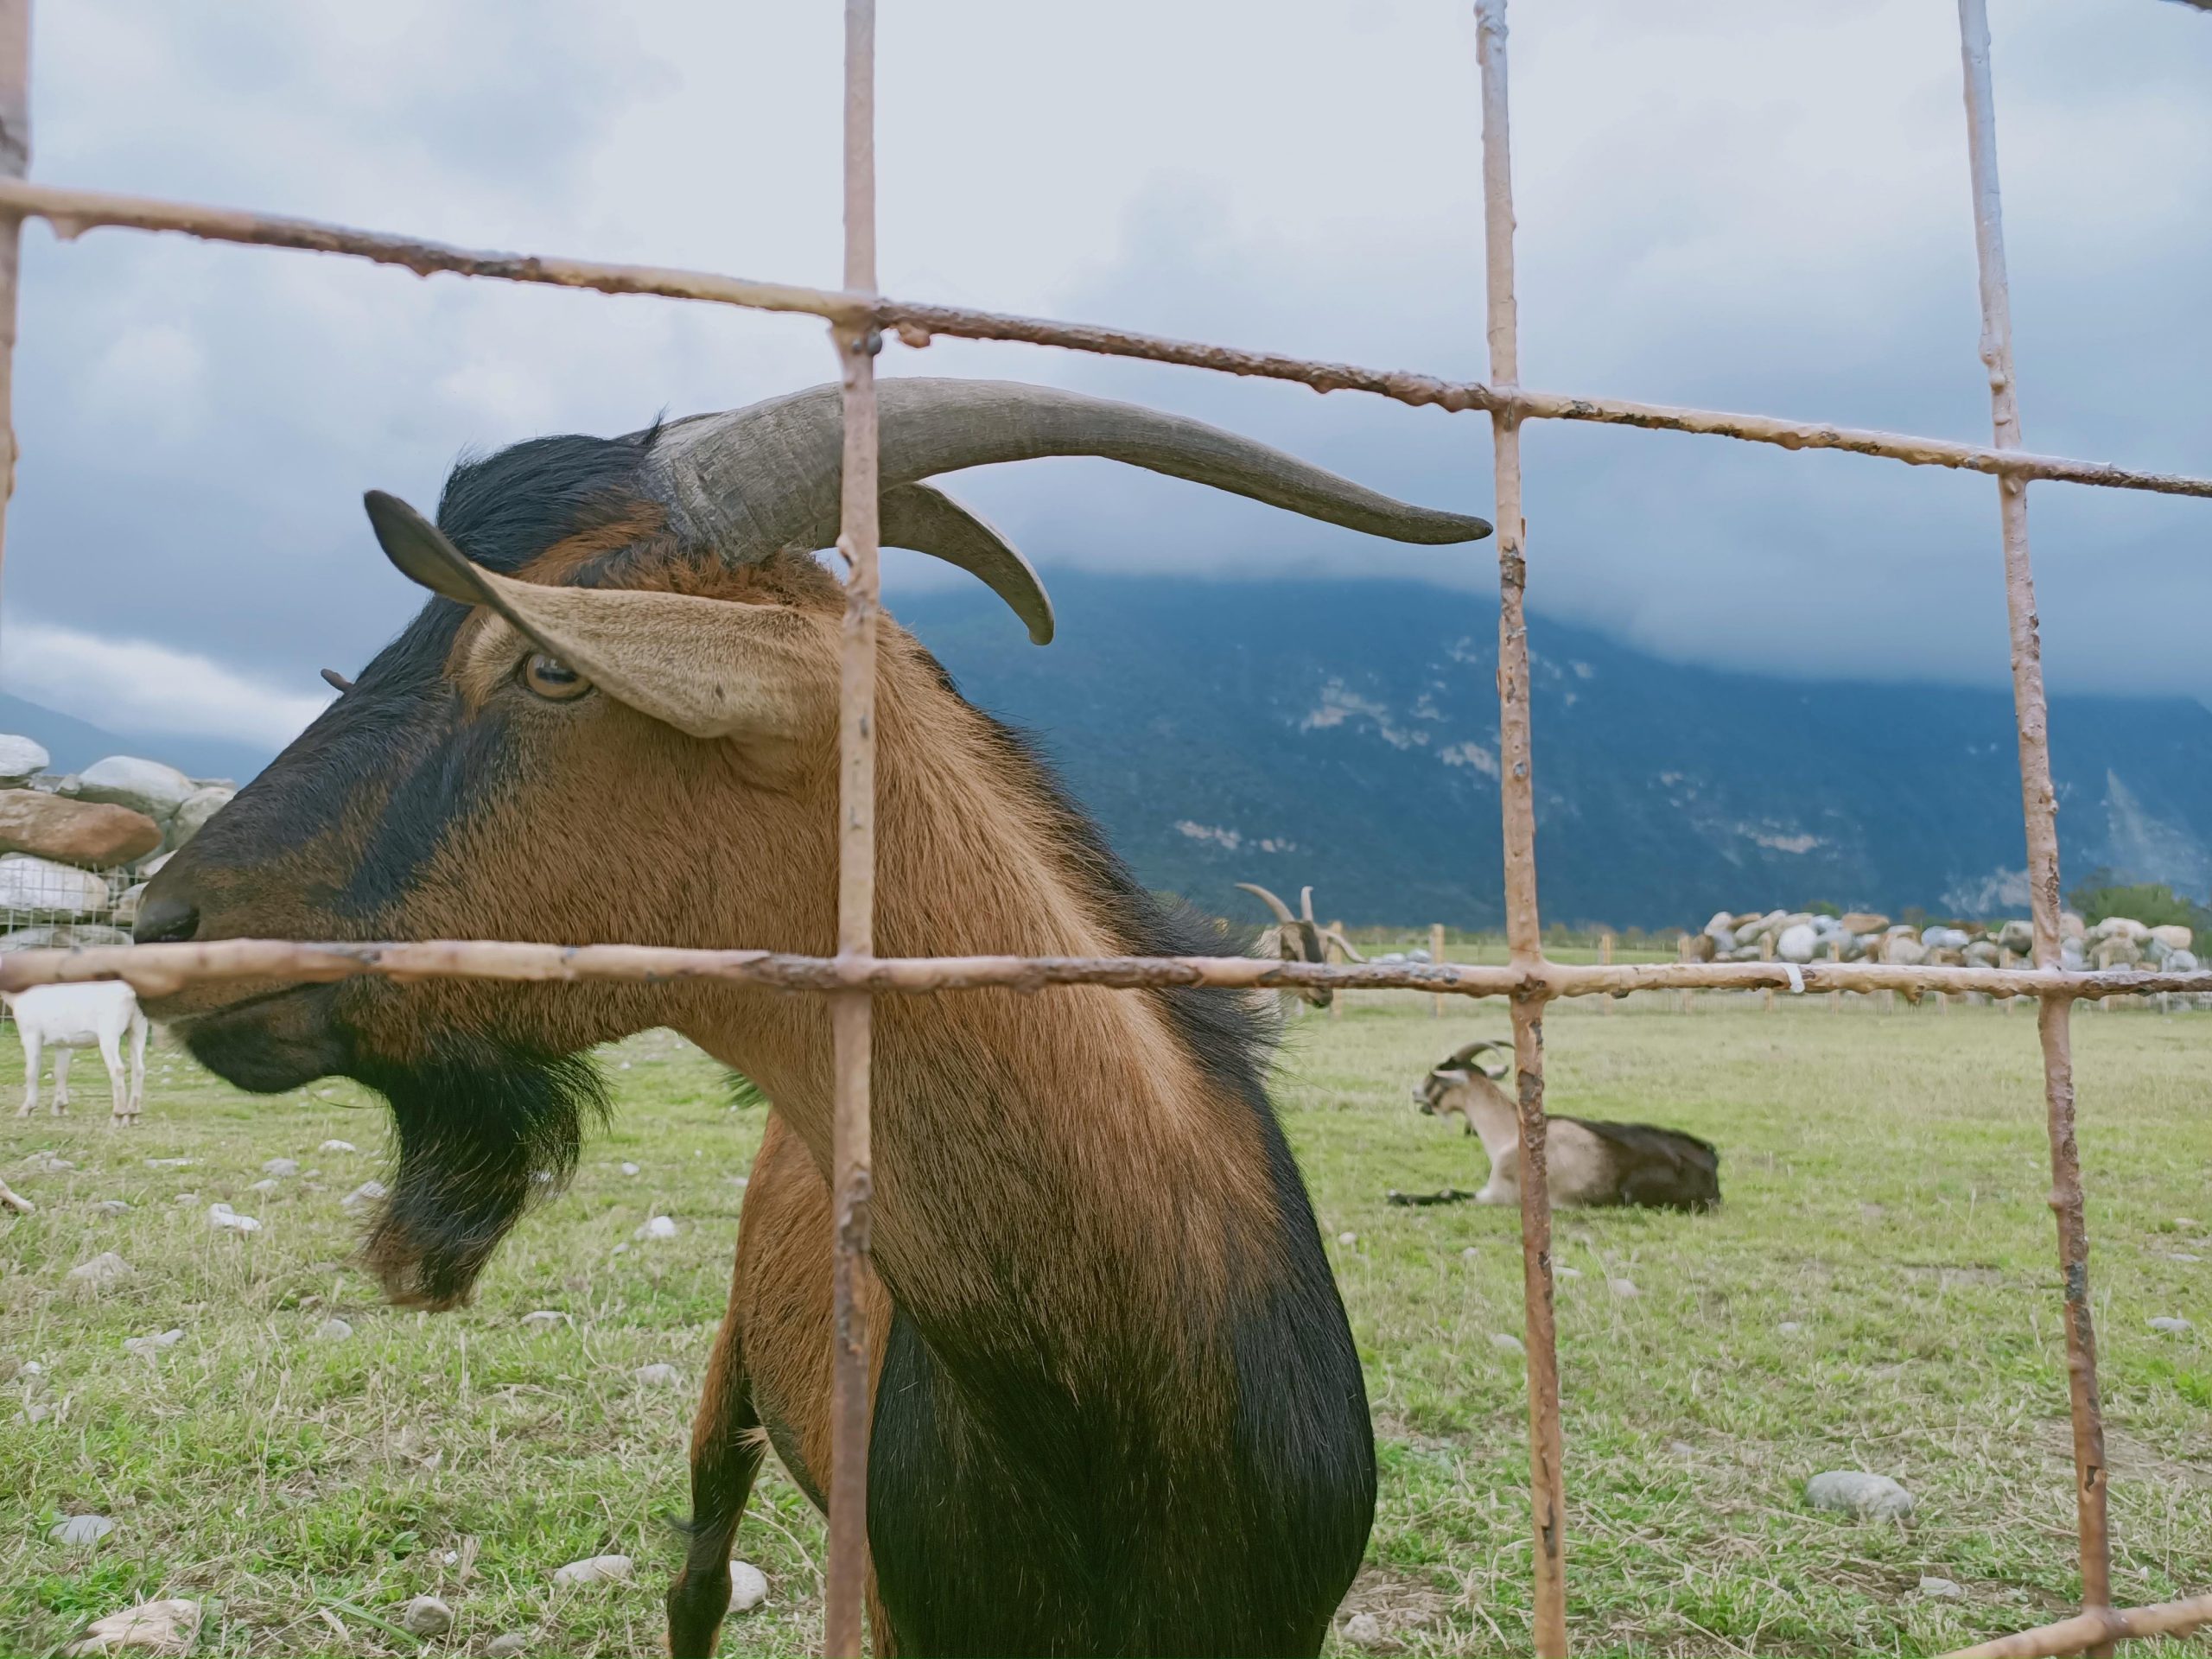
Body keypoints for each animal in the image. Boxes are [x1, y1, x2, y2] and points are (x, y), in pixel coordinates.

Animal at [3, 986, 150, 1132]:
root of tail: (131, 993)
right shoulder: (62, 1043)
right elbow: (60, 1072)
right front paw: (60, 1107)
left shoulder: (31, 1035)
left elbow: (31, 1072)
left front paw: (26, 1109)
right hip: (138, 1028)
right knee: (138, 1069)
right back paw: (132, 1115)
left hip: (109, 1034)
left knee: (118, 1069)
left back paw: (117, 1116)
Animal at [129, 380, 1495, 1659]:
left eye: (551, 666)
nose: (167, 922)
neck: (1114, 1401)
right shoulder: (901, 1604)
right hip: (729, 1380)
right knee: (695, 1578)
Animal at [1407, 1044, 1716, 1211]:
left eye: (1436, 1077)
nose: (1415, 1093)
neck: (1508, 1134)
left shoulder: (1500, 1196)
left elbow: (1447, 1194)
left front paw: (1399, 1195)